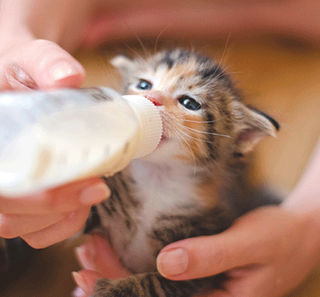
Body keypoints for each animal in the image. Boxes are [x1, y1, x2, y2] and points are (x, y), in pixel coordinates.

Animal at [85, 48, 280, 296]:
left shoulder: (198, 261)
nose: (151, 98)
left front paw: (113, 290)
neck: (157, 177)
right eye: (143, 85)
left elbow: (158, 283)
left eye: (189, 102)